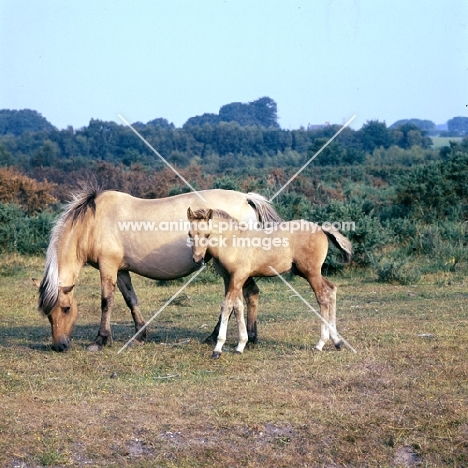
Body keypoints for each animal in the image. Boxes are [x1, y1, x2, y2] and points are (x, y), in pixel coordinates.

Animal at [186, 207, 352, 358]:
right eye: (190, 235)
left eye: (207, 235)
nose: (197, 260)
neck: (232, 241)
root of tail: (321, 228)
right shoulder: (229, 279)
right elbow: (238, 307)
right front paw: (240, 345)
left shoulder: (238, 277)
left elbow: (227, 306)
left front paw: (218, 348)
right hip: (306, 272)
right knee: (331, 290)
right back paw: (337, 341)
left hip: (311, 272)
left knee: (322, 298)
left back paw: (320, 343)